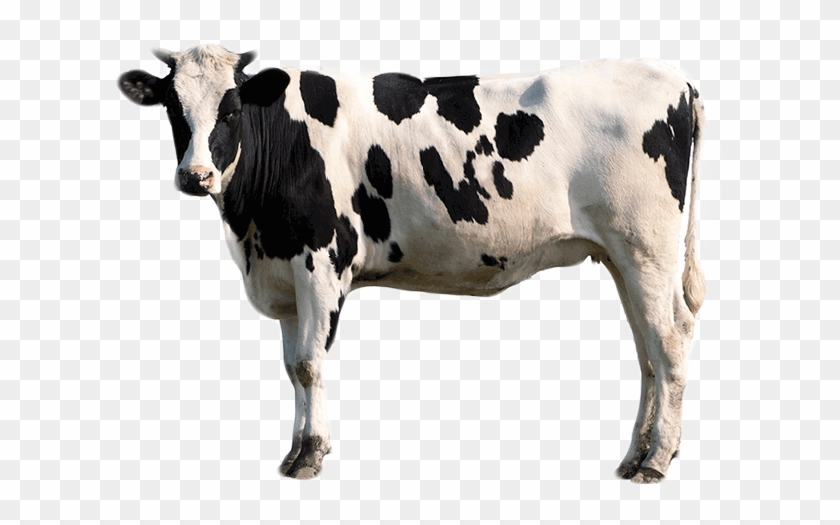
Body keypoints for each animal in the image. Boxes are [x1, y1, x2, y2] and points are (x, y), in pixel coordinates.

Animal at [118, 44, 705, 483]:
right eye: (172, 107)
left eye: (232, 109)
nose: (196, 176)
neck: (253, 229)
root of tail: (676, 80)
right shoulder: (284, 275)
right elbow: (292, 367)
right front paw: (294, 451)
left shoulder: (322, 262)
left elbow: (309, 363)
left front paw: (311, 454)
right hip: (621, 257)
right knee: (647, 351)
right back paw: (635, 456)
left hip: (646, 248)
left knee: (670, 342)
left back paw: (656, 460)